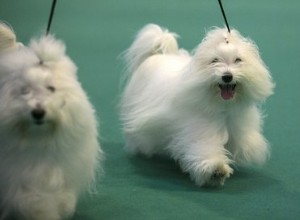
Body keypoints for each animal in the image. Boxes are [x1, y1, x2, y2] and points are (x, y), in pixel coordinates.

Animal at [0, 22, 101, 220]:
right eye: (24, 90)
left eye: (51, 88)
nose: (38, 112)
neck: (38, 140)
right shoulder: (16, 176)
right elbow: (30, 200)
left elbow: (64, 195)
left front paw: (64, 206)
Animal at [120, 23, 276, 186]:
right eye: (214, 60)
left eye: (238, 60)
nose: (227, 76)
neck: (222, 106)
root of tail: (155, 56)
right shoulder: (199, 129)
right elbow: (205, 148)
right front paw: (216, 170)